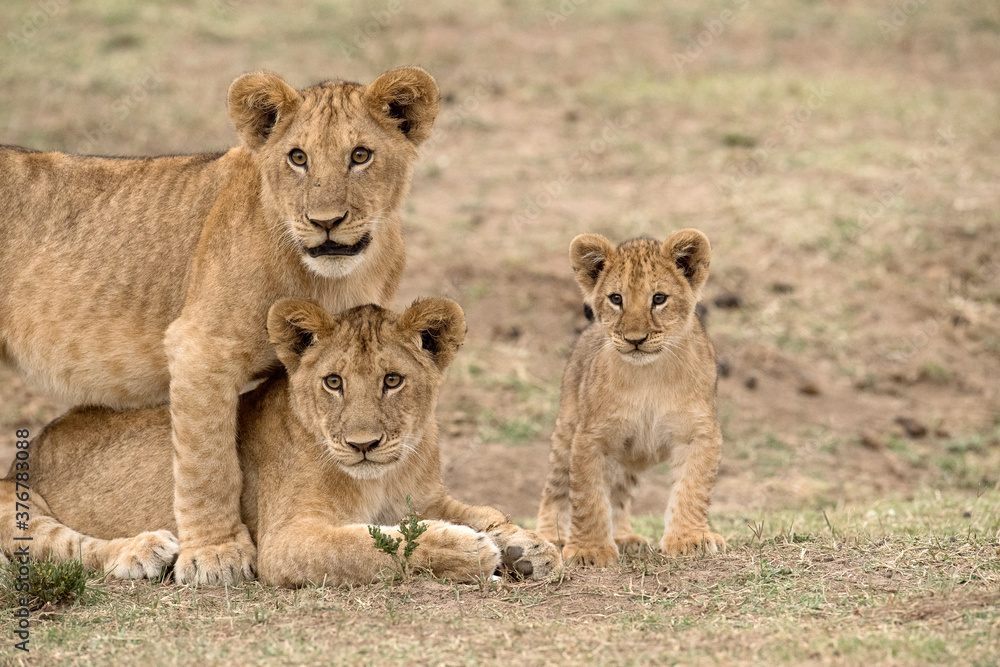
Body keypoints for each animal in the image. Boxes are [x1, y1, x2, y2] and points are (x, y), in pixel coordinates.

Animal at [0, 66, 439, 584]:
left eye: (360, 155)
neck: (335, 278)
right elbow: (209, 461)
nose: (325, 222)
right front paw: (216, 554)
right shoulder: (199, 347)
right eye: (298, 157)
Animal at [0, 298, 562, 586]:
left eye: (392, 380)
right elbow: (374, 546)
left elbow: (485, 510)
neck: (382, 476)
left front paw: (531, 546)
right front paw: (468, 550)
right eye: (333, 382)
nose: (363, 444)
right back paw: (144, 552)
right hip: (15, 506)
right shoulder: (286, 539)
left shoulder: (427, 497)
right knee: (60, 548)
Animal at [536, 230, 726, 567]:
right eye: (616, 298)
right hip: (566, 432)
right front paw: (589, 551)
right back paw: (550, 537)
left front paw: (690, 539)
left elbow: (693, 488)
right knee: (556, 488)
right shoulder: (591, 436)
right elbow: (587, 496)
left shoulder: (700, 432)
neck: (648, 376)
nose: (635, 339)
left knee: (619, 492)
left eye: (659, 298)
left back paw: (624, 538)